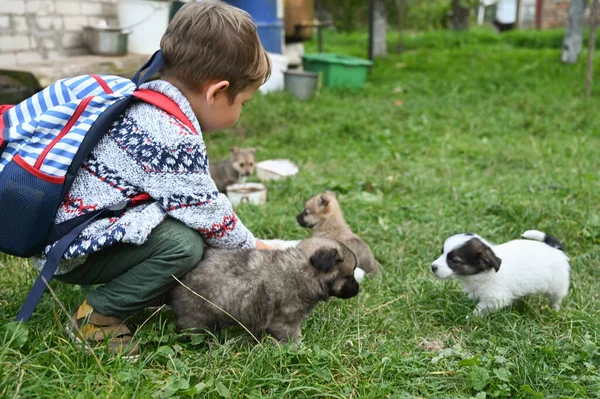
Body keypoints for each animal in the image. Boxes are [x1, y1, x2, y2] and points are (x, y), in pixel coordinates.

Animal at [166, 238, 358, 344]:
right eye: (349, 276)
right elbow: (293, 336)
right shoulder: (285, 321)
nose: (358, 289)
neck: (303, 271)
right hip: (197, 314)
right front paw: (300, 349)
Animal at [432, 230, 572, 318]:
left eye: (453, 260)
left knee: (556, 299)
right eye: (442, 252)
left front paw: (470, 317)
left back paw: (555, 310)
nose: (432, 267)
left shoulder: (495, 299)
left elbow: (479, 309)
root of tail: (555, 248)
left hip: (557, 286)